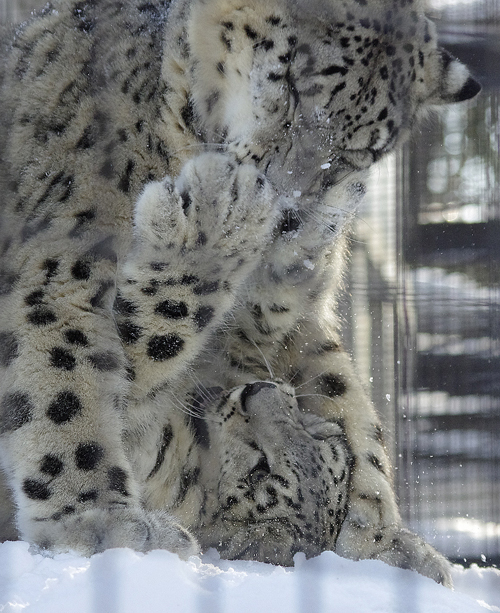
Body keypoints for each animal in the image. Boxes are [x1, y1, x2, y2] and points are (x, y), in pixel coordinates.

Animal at [0, 0, 478, 584]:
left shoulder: (289, 322)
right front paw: (98, 523)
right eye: (291, 81)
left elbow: (347, 402)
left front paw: (383, 543)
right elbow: (74, 372)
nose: (288, 210)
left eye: (356, 152)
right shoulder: (62, 265)